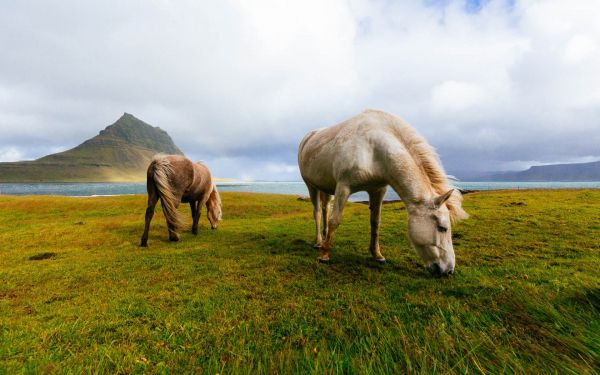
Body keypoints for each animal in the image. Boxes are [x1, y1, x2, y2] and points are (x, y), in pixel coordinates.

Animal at [296, 108, 468, 276]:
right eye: (442, 228)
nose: (449, 270)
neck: (374, 149)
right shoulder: (343, 187)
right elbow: (335, 220)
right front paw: (324, 256)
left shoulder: (378, 190)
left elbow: (375, 223)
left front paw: (377, 255)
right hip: (311, 186)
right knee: (318, 212)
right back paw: (319, 242)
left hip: (326, 188)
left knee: (326, 209)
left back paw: (325, 236)